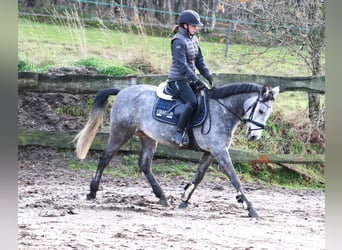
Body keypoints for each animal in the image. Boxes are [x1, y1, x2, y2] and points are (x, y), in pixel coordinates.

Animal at [73, 83, 280, 218]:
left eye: (268, 113)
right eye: (261, 110)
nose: (254, 137)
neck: (222, 111)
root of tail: (122, 91)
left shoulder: (211, 152)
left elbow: (199, 175)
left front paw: (185, 199)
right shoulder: (219, 151)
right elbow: (234, 178)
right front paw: (250, 208)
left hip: (147, 137)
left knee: (144, 164)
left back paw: (162, 197)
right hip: (120, 132)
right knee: (105, 158)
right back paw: (92, 192)